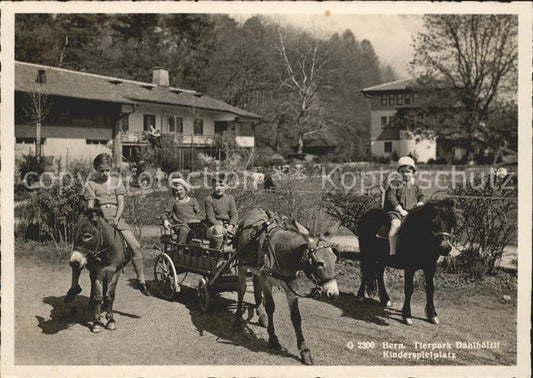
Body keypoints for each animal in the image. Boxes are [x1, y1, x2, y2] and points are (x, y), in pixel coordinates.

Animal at [231, 208, 338, 364]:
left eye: (335, 259)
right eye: (319, 263)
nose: (333, 293)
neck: (282, 251)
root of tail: (253, 210)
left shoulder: (291, 285)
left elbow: (296, 316)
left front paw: (304, 349)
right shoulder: (267, 281)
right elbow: (270, 307)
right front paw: (273, 338)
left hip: (257, 270)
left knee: (256, 287)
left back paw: (261, 315)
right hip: (243, 266)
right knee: (242, 290)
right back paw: (238, 320)